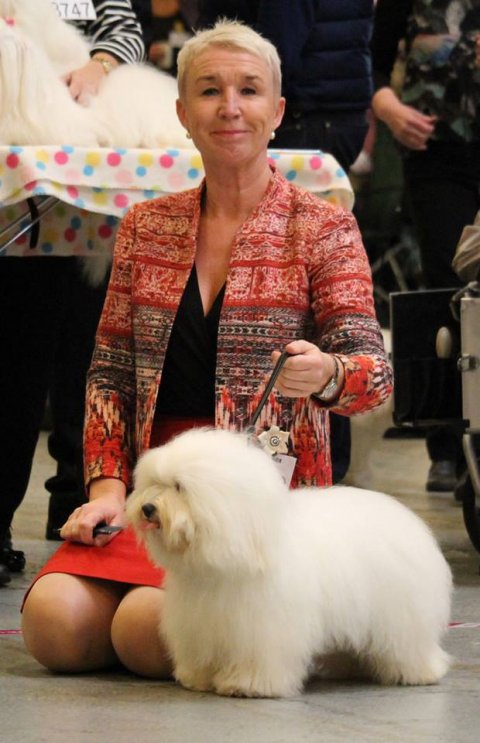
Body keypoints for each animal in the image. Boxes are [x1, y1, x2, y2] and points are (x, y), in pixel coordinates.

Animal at [127, 427, 453, 698]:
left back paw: (419, 673)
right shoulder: (201, 623)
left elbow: (259, 659)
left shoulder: (262, 627)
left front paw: (247, 685)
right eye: (155, 483)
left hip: (403, 617)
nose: (148, 508)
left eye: (179, 486)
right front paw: (199, 679)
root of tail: (405, 517)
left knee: (411, 646)